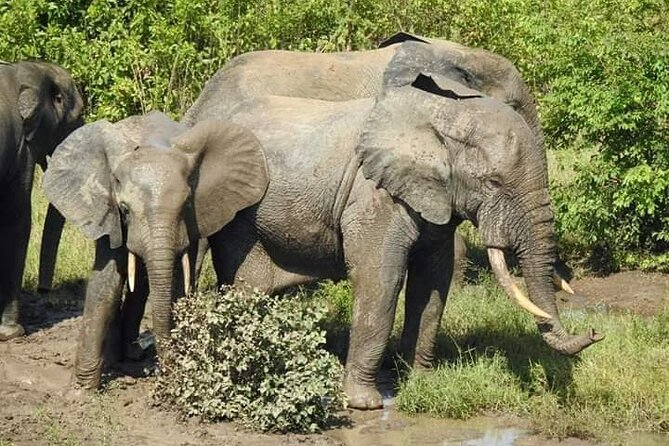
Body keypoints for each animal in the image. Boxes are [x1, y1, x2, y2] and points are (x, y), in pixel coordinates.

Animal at [42, 110, 268, 388]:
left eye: (187, 205)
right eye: (124, 209)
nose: (167, 373)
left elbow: (176, 281)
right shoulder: (109, 212)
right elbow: (107, 281)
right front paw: (80, 390)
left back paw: (131, 354)